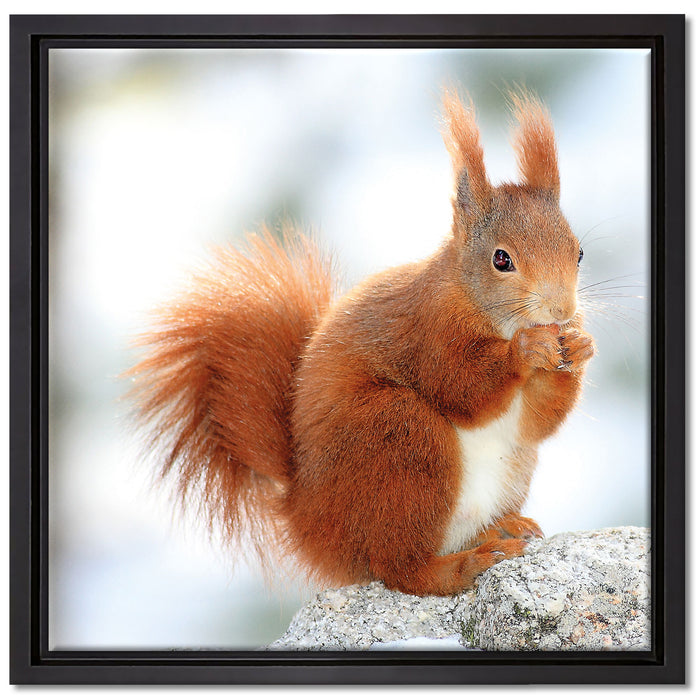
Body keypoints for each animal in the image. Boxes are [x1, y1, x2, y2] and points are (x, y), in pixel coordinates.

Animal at [127, 89, 594, 597]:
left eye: (579, 252)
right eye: (501, 259)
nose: (562, 310)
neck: (486, 310)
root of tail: (307, 520)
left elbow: (537, 422)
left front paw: (580, 348)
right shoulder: (427, 331)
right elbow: (462, 387)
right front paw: (525, 351)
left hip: (505, 467)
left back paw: (502, 527)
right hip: (398, 438)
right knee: (402, 568)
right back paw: (465, 564)